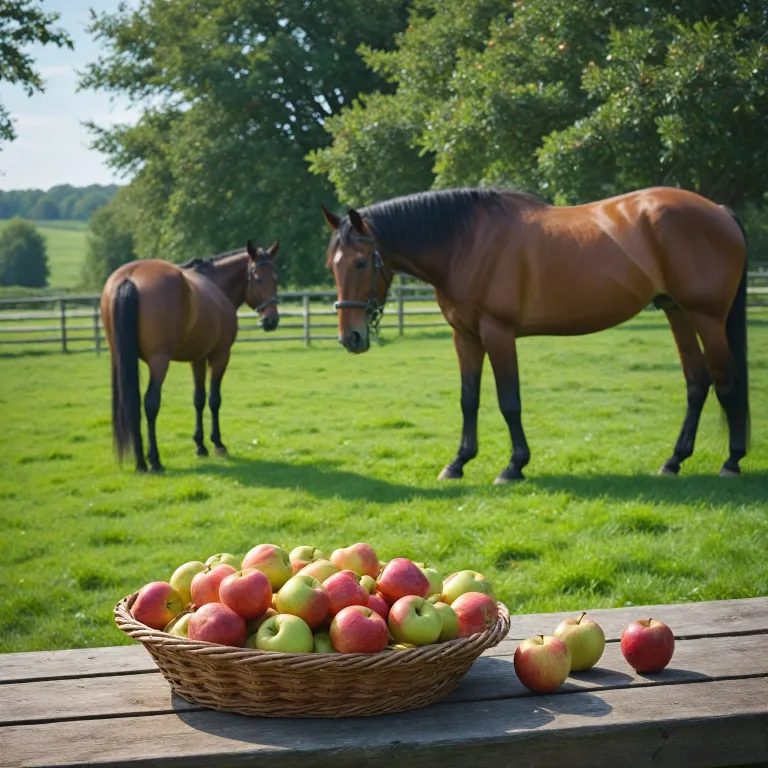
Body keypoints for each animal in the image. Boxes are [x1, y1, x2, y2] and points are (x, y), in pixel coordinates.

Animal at [101, 240, 280, 472]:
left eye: (276, 278)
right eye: (257, 278)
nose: (271, 320)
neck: (216, 284)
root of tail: (129, 278)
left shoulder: (198, 358)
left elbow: (198, 399)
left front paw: (200, 445)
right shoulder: (220, 355)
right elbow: (214, 399)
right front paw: (217, 443)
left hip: (119, 358)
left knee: (131, 405)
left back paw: (140, 461)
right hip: (159, 361)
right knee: (150, 404)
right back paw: (153, 460)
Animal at [321, 186, 749, 483]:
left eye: (361, 263)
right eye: (332, 265)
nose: (350, 338)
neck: (466, 242)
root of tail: (719, 211)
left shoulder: (498, 333)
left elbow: (509, 401)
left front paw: (514, 466)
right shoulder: (466, 336)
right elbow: (468, 400)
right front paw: (458, 463)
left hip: (706, 316)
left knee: (726, 381)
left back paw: (731, 461)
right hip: (677, 311)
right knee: (697, 383)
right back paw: (674, 460)